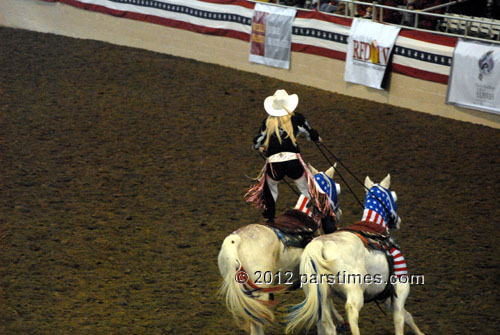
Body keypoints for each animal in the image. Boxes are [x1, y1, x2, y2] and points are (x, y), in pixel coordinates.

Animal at [288, 175, 424, 335]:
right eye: (393, 196)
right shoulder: (400, 286)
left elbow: (407, 316)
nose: (399, 221)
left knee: (326, 325)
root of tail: (319, 245)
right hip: (354, 291)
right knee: (351, 310)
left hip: (321, 296)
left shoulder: (384, 292)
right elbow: (399, 318)